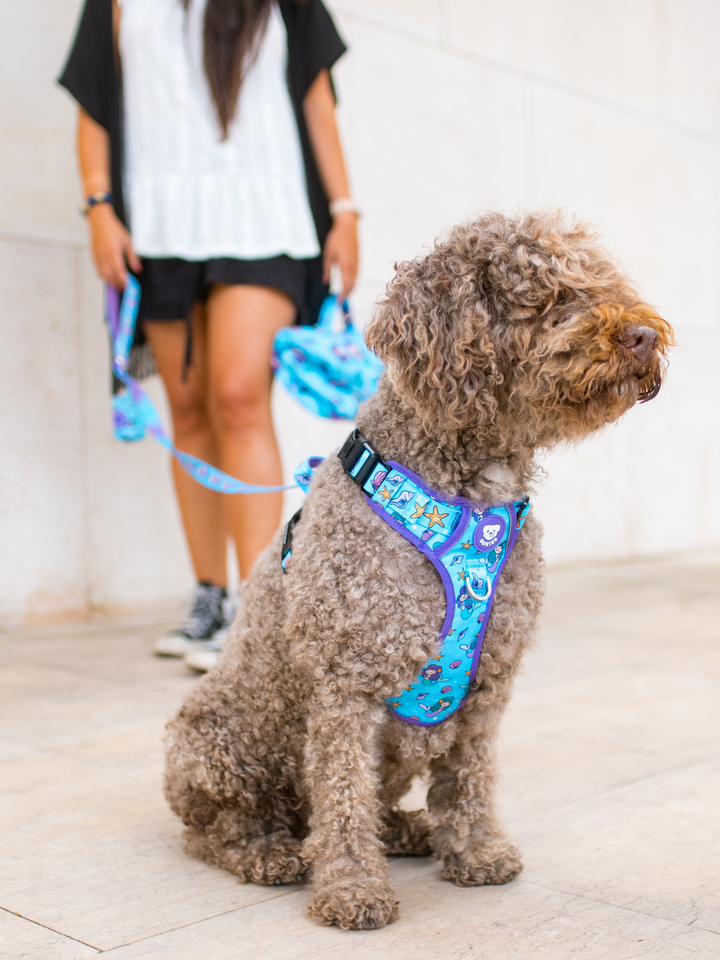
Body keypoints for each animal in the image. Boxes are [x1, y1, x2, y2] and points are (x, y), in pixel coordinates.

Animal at [166, 210, 672, 928]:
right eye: (543, 297)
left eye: (602, 281)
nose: (642, 334)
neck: (466, 495)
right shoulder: (346, 684)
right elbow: (343, 795)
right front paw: (352, 888)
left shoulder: (490, 683)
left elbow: (469, 777)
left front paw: (476, 849)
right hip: (215, 746)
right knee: (219, 830)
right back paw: (271, 853)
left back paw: (406, 830)